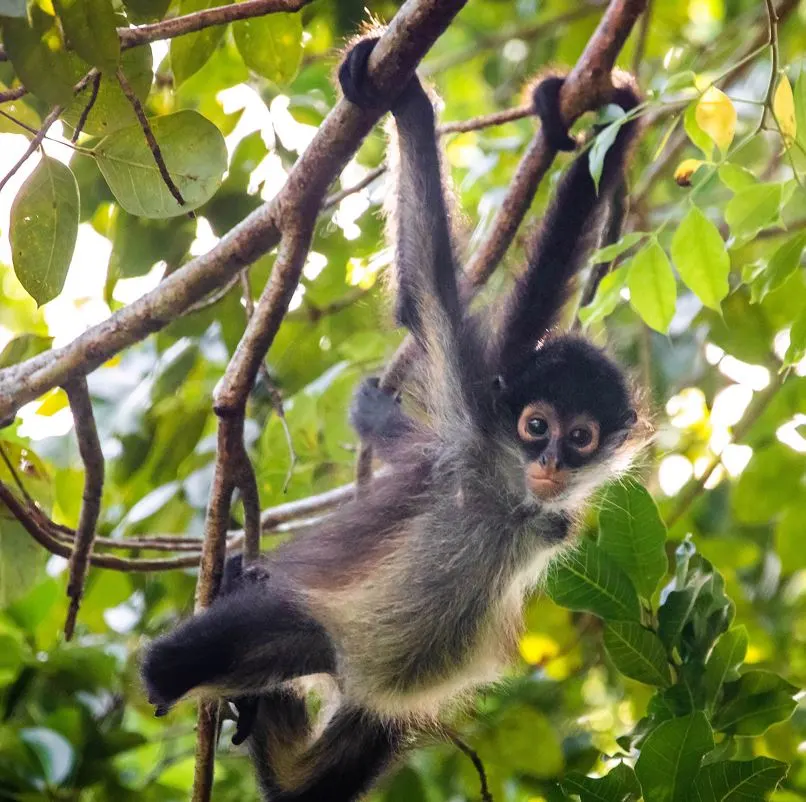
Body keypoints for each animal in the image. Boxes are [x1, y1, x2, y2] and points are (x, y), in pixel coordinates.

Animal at [142, 36, 648, 800]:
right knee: (170, 669)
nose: (552, 461)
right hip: (308, 624)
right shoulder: (473, 419)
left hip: (363, 702)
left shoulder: (542, 504)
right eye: (536, 426)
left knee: (307, 787)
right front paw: (408, 103)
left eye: (581, 437)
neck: (513, 500)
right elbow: (424, 290)